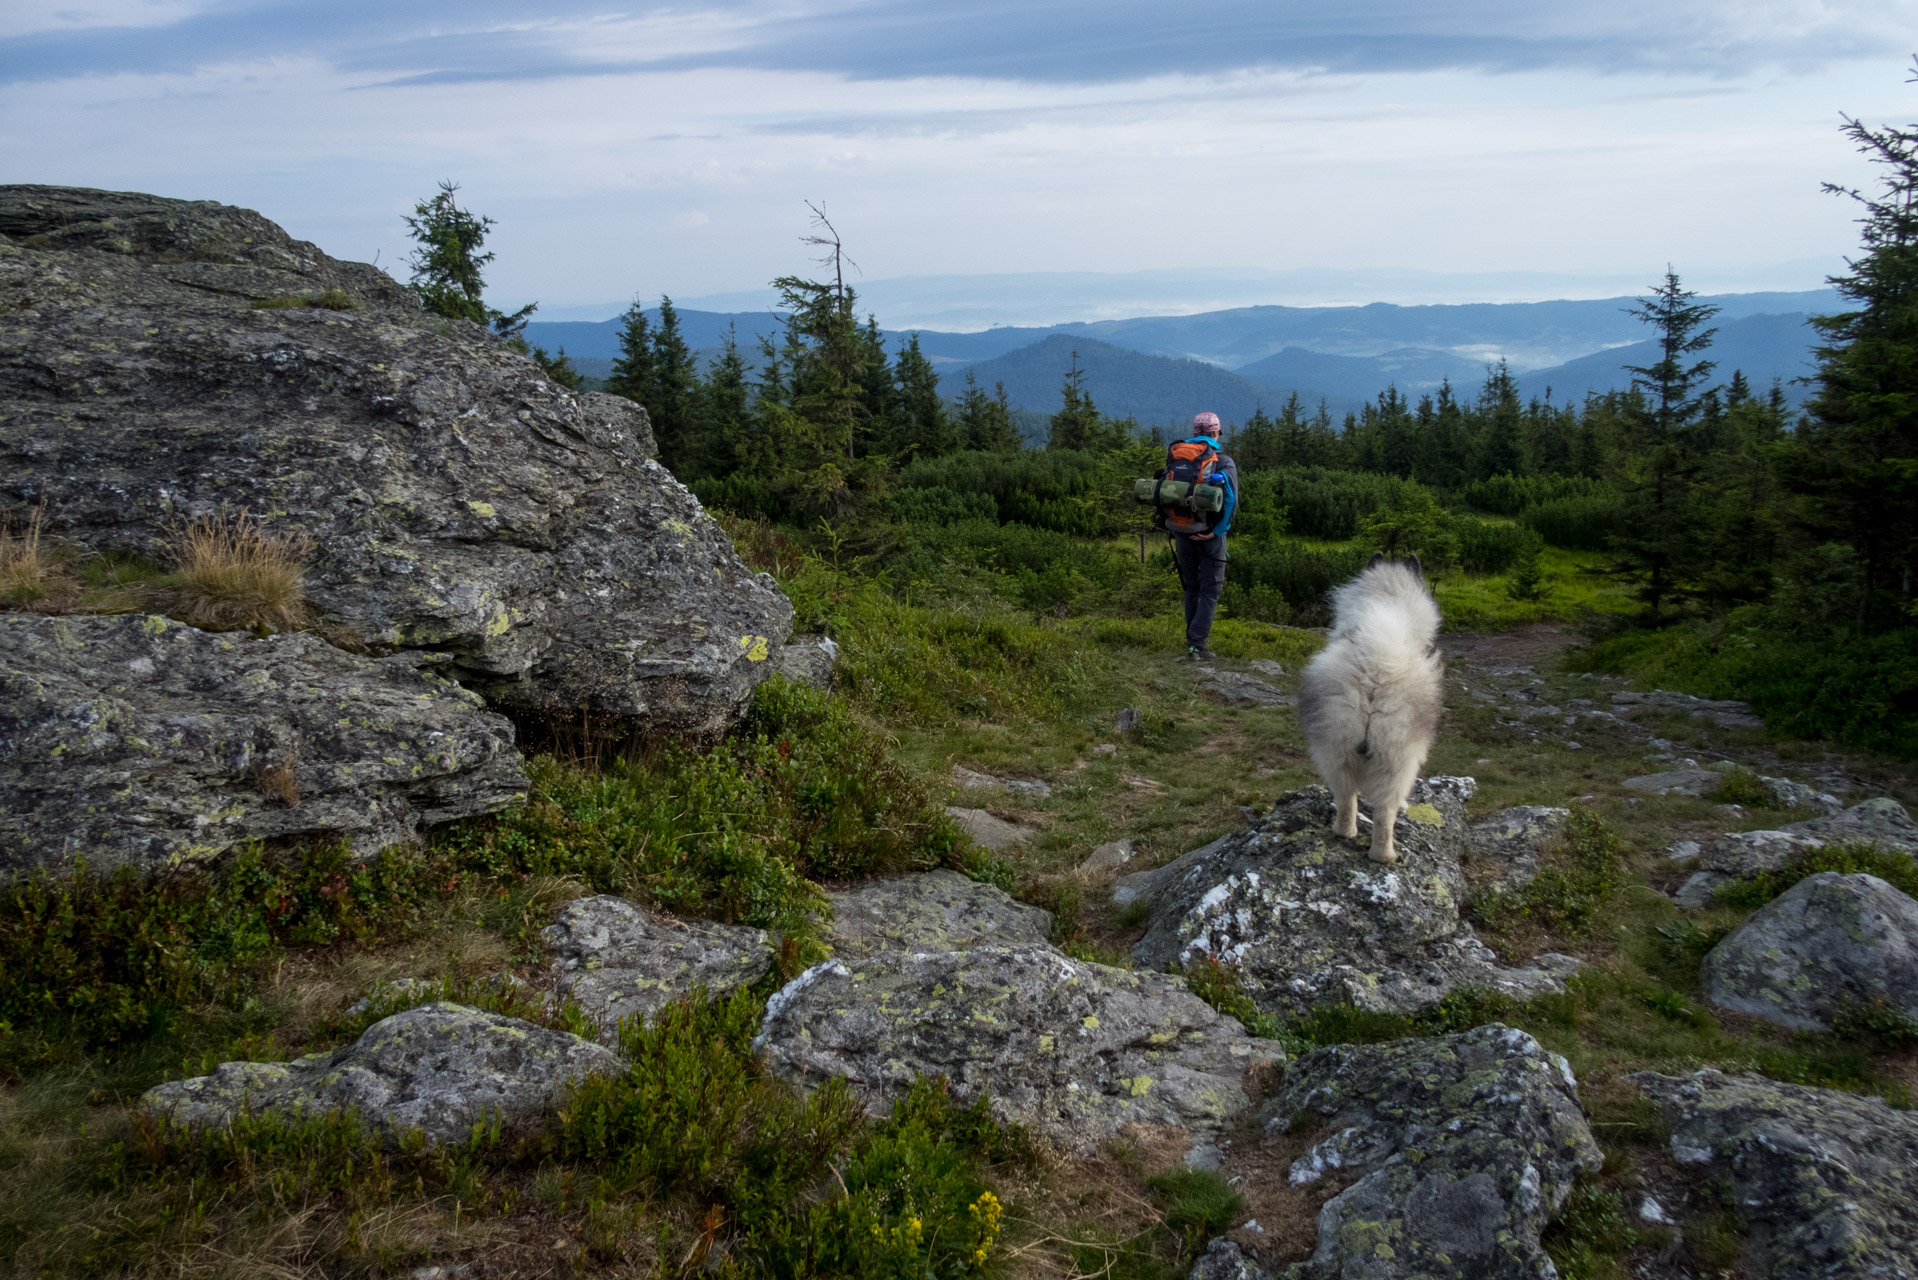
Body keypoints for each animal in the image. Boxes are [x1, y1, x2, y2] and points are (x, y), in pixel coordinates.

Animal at [1296, 556, 1442, 867]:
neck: (1387, 599)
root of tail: (1375, 672)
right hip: (1398, 759)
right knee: (1385, 811)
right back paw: (1384, 855)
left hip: (1336, 748)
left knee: (1347, 798)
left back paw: (1347, 834)